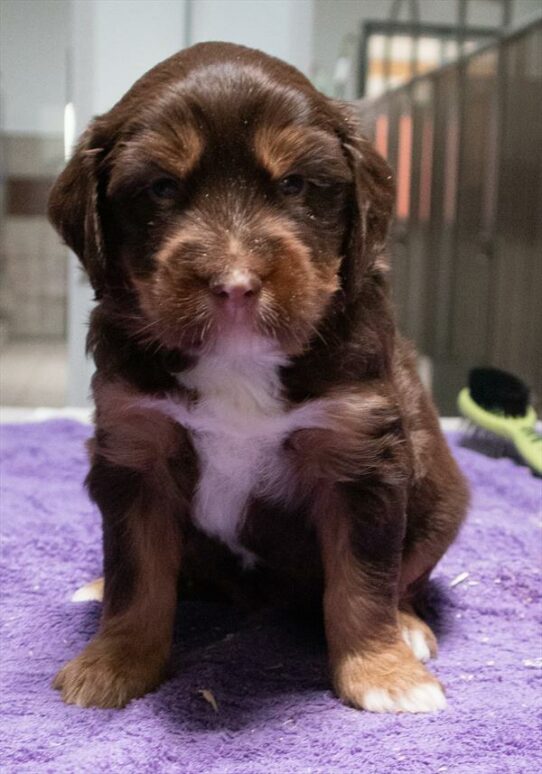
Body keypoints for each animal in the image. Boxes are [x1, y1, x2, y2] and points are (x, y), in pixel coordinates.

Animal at [49, 41, 470, 708]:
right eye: (162, 188)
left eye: (294, 184)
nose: (236, 285)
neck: (238, 361)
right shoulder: (136, 442)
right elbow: (136, 576)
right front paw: (112, 665)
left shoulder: (358, 451)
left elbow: (364, 581)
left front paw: (385, 675)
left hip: (442, 498)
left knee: (406, 574)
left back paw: (407, 627)